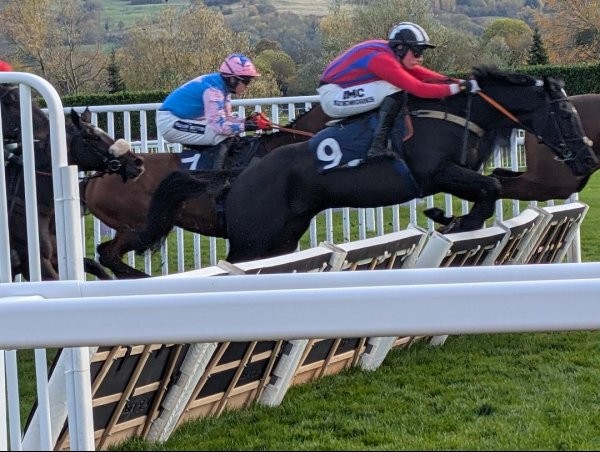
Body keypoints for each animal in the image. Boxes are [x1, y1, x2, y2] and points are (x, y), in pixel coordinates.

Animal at [130, 66, 596, 265]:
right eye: (565, 113)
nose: (588, 158)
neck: (456, 113)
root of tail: (237, 176)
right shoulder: (433, 172)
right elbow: (493, 188)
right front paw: (455, 221)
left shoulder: (451, 177)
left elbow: (489, 189)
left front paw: (448, 218)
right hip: (252, 239)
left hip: (282, 238)